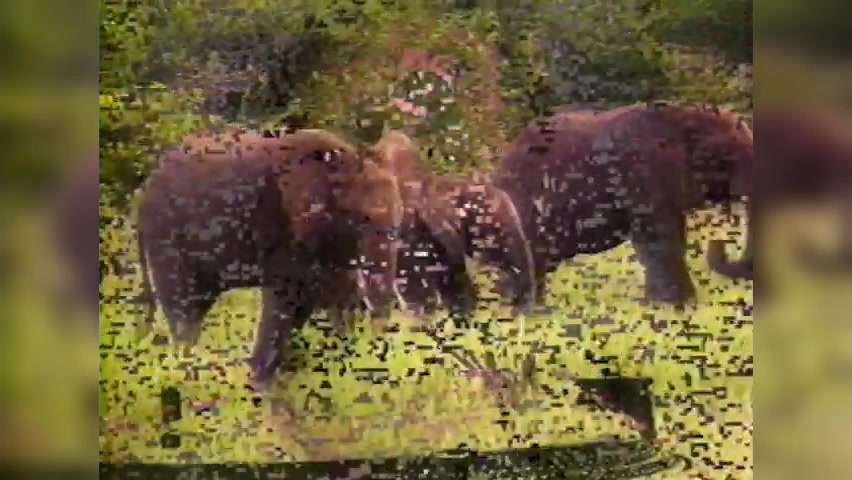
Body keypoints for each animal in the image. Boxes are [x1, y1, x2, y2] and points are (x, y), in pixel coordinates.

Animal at [134, 127, 404, 390]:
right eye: (360, 218)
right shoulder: (284, 225)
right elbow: (286, 297)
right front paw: (260, 387)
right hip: (166, 236)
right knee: (183, 305)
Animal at [492, 102, 753, 307]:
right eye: (729, 158)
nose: (719, 245)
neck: (682, 115)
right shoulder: (642, 175)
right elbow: (659, 238)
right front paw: (672, 306)